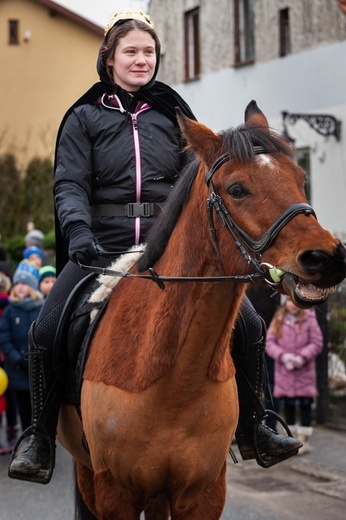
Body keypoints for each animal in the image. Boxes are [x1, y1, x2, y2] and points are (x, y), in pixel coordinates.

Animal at [57, 99, 346, 516]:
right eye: (237, 189)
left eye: (300, 176)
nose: (327, 259)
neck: (172, 377)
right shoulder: (114, 493)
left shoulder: (204, 493)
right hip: (89, 474)